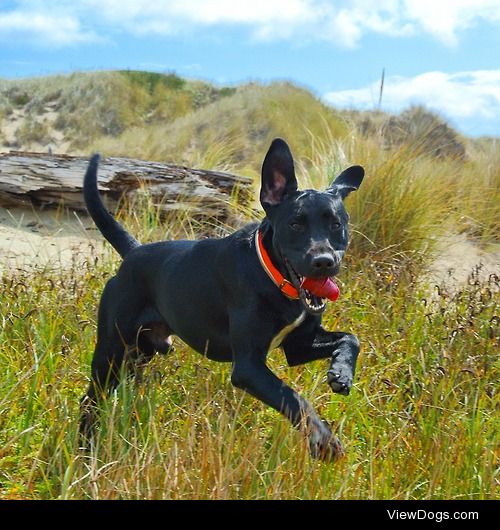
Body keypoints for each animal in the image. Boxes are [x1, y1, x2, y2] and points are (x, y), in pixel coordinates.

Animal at [79, 137, 364, 458]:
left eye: (336, 224)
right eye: (295, 224)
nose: (324, 261)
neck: (272, 276)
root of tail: (133, 253)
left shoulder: (299, 346)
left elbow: (351, 339)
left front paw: (341, 372)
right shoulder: (249, 367)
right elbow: (294, 399)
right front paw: (323, 439)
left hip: (140, 353)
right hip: (110, 353)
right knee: (90, 401)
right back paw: (85, 449)